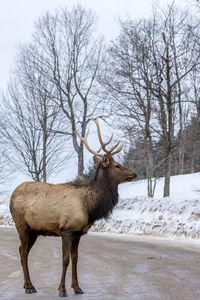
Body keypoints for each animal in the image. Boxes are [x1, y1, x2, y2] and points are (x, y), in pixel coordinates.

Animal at [10, 116, 137, 296]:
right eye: (117, 165)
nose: (134, 174)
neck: (90, 208)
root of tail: (11, 195)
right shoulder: (67, 229)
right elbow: (65, 259)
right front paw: (62, 289)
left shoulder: (78, 233)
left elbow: (76, 259)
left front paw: (77, 288)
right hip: (21, 224)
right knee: (22, 251)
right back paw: (29, 287)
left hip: (33, 230)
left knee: (23, 250)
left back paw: (27, 285)